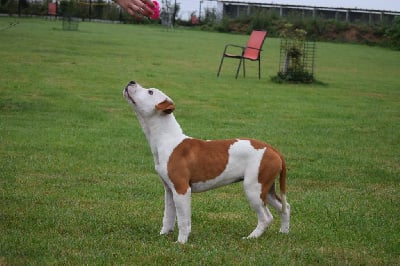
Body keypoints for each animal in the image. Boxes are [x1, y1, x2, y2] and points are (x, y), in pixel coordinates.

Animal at [122, 80, 290, 243]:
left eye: (150, 92)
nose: (131, 82)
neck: (167, 138)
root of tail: (273, 149)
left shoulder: (182, 190)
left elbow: (183, 220)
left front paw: (181, 242)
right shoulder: (169, 190)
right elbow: (168, 217)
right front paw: (163, 235)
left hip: (253, 189)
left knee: (266, 217)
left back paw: (251, 237)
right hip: (266, 189)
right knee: (285, 207)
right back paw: (284, 232)